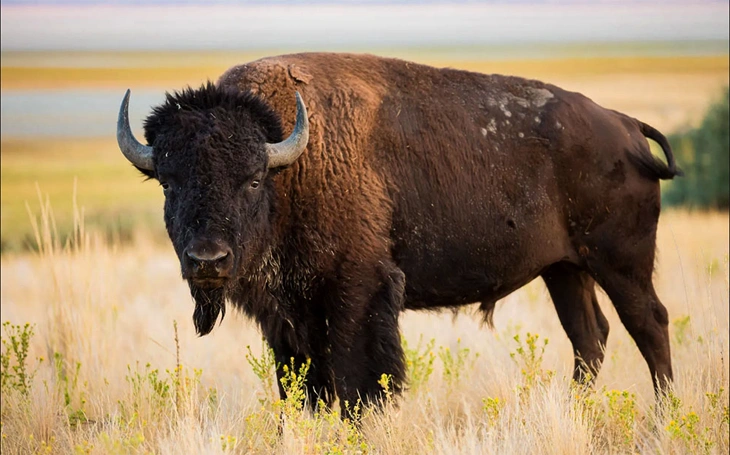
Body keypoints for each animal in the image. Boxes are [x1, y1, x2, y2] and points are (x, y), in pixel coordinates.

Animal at [117, 53, 680, 415]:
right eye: (168, 181)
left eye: (252, 179)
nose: (207, 260)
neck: (291, 165)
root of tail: (624, 126)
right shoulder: (286, 315)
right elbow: (302, 386)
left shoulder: (357, 292)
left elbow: (357, 380)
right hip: (564, 270)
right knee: (590, 337)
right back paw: (576, 410)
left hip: (620, 263)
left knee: (648, 325)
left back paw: (664, 415)